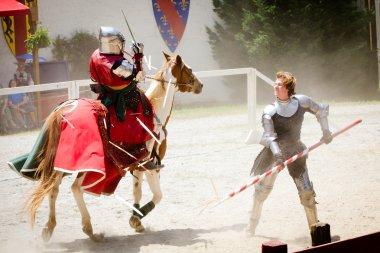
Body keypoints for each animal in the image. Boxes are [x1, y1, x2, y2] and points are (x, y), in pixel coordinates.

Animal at [22, 52, 203, 242]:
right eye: (188, 69)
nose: (200, 85)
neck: (155, 111)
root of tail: (62, 112)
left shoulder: (137, 165)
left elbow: (137, 192)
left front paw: (136, 220)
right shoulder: (151, 164)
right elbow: (158, 195)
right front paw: (136, 219)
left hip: (61, 163)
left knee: (54, 188)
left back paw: (51, 227)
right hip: (86, 166)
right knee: (75, 188)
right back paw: (89, 229)